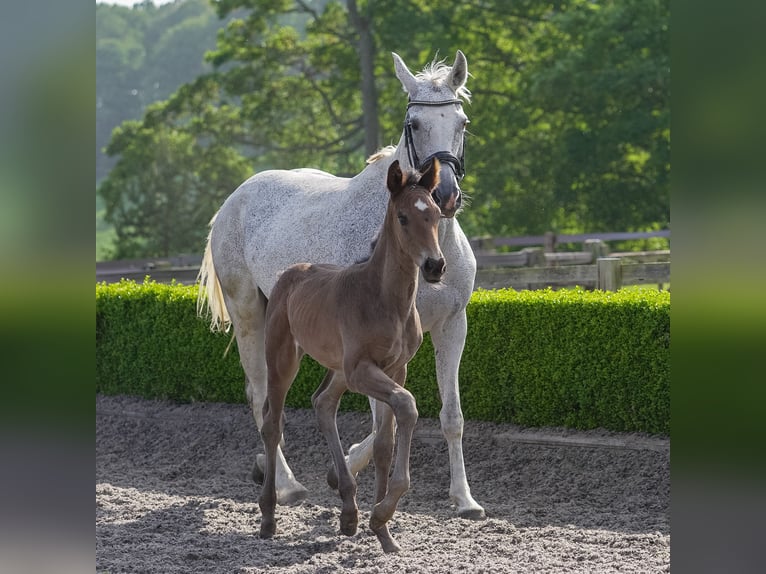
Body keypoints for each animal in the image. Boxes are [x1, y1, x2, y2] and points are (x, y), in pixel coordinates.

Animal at [260, 159, 444, 553]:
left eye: (436, 214)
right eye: (403, 217)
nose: (435, 266)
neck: (385, 299)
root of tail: (291, 272)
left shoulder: (396, 368)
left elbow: (386, 441)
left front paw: (383, 530)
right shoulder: (363, 370)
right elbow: (407, 405)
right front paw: (380, 514)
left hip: (339, 370)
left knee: (323, 403)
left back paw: (348, 511)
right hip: (283, 358)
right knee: (272, 424)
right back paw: (268, 516)